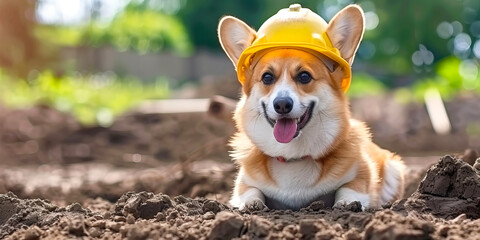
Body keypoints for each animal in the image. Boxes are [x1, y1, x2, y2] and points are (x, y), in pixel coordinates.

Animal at [218, 4, 404, 210]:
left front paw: (347, 204)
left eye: (304, 76)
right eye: (267, 77)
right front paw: (251, 204)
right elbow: (249, 191)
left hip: (394, 169)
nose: (282, 104)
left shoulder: (362, 174)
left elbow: (350, 187)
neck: (293, 156)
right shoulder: (244, 183)